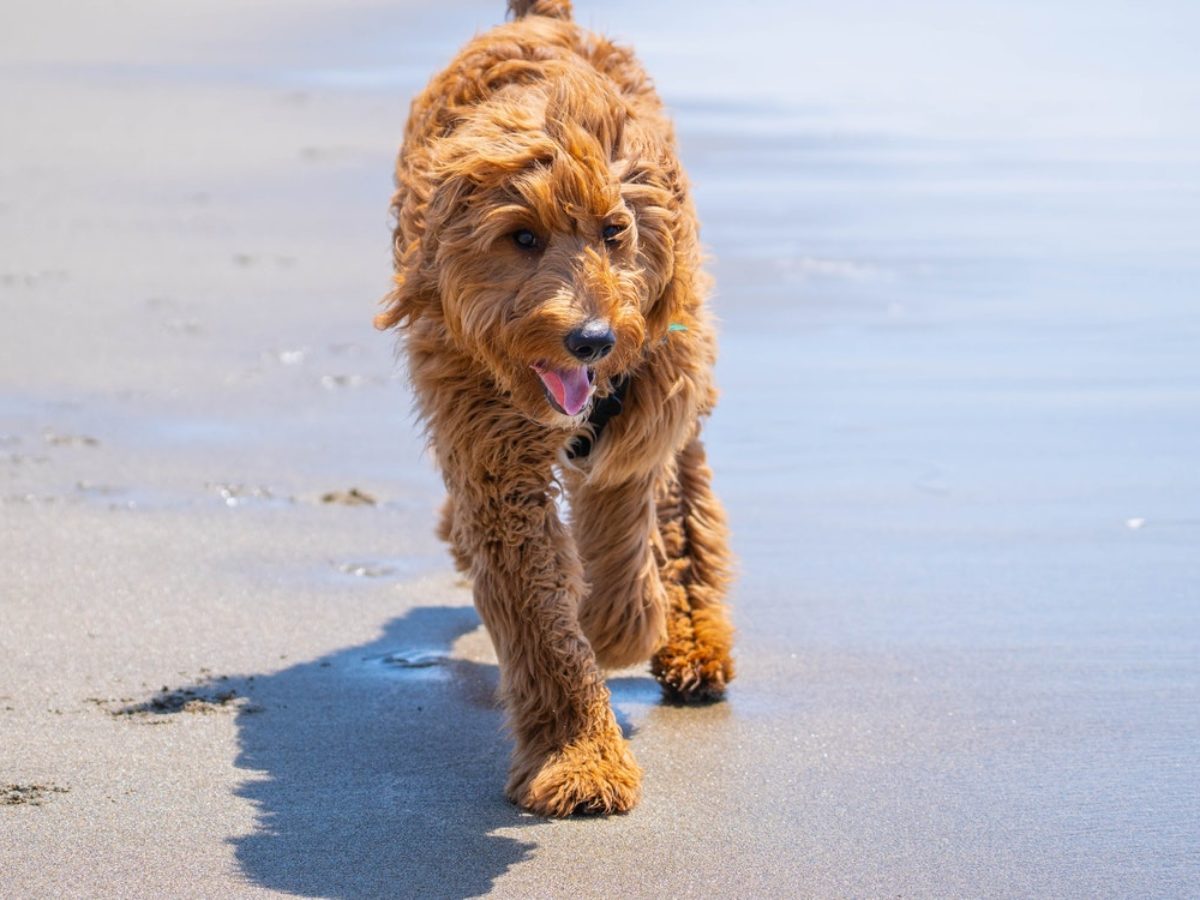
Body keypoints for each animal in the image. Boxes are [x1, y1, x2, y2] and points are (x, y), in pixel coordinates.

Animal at [376, 0, 729, 816]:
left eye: (614, 230)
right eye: (522, 237)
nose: (592, 340)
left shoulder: (648, 400)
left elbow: (626, 512)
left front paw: (621, 624)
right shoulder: (493, 458)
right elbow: (540, 620)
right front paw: (579, 757)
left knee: (685, 499)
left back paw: (692, 640)